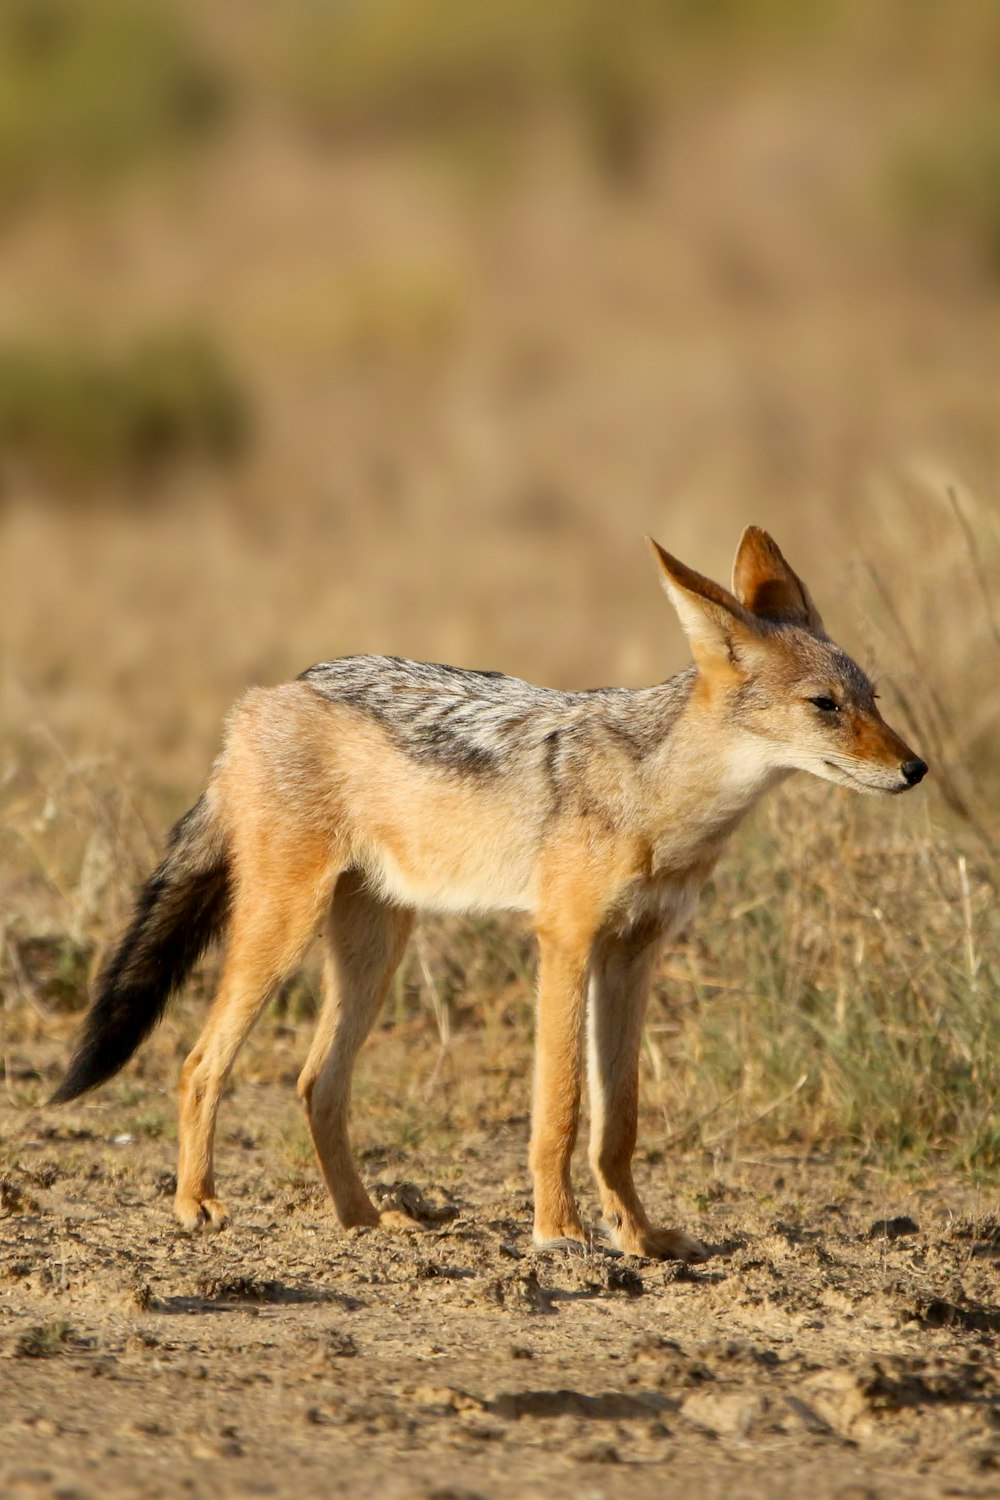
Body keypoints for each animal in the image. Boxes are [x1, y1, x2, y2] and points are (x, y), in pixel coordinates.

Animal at [52, 534, 929, 1260]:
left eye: (876, 701)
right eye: (826, 706)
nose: (917, 769)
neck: (662, 805)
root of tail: (267, 695)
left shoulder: (633, 955)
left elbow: (619, 1122)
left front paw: (641, 1238)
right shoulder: (565, 942)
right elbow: (561, 1111)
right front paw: (561, 1233)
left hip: (374, 953)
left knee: (315, 1084)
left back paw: (364, 1223)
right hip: (283, 932)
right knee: (200, 1064)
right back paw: (195, 1204)